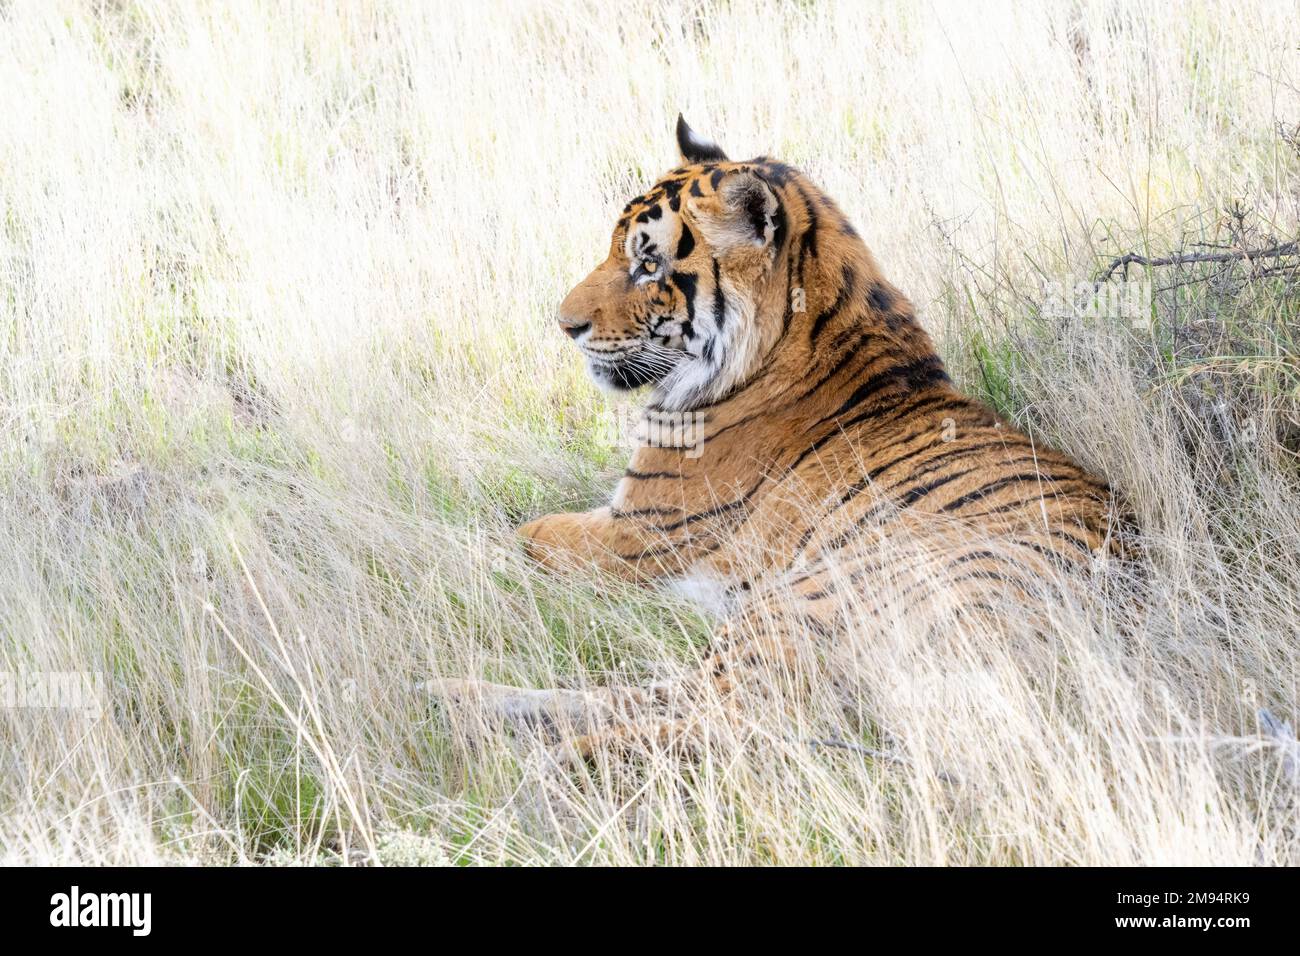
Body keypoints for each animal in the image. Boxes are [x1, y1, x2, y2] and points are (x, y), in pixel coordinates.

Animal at [432, 116, 1127, 756]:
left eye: (648, 262)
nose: (564, 324)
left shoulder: (634, 534)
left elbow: (519, 536)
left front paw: (460, 556)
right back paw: (456, 700)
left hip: (806, 596)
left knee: (721, 719)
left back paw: (520, 750)